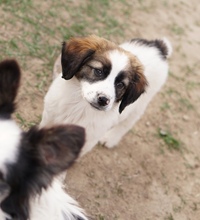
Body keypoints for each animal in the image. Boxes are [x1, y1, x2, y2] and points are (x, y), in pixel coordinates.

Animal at [40, 34, 172, 155]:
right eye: (98, 71)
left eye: (120, 84)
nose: (103, 100)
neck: (79, 105)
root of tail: (158, 47)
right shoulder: (48, 118)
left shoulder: (87, 140)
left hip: (139, 106)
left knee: (127, 123)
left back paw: (111, 138)